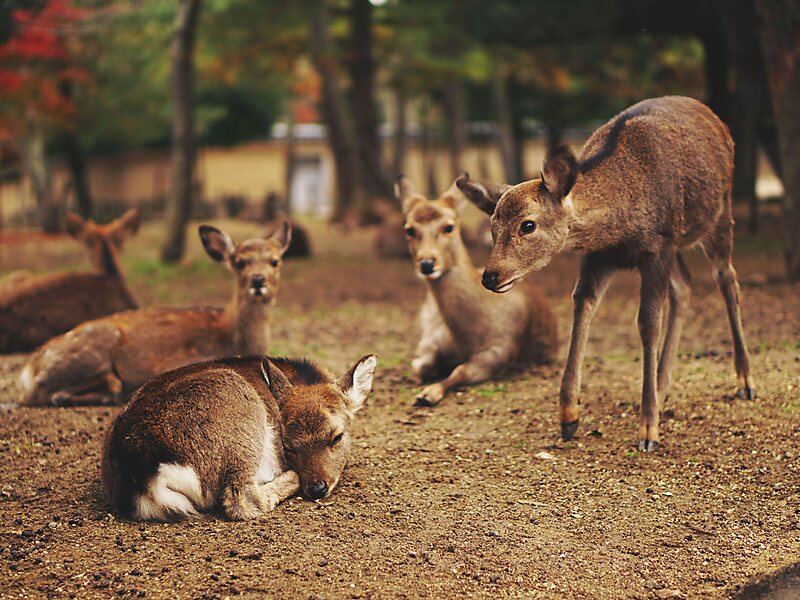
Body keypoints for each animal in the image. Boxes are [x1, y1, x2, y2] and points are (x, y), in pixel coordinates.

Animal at [19, 221, 291, 406]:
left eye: (275, 261)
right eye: (239, 262)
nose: (258, 279)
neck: (231, 336)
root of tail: (28, 369)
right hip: (93, 349)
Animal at [396, 175, 558, 406]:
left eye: (449, 227)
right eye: (409, 229)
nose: (427, 263)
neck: (465, 336)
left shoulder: (501, 349)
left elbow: (461, 370)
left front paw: (428, 393)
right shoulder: (431, 338)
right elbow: (421, 365)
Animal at [457, 95, 755, 452]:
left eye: (527, 225)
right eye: (492, 226)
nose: (490, 276)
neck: (619, 227)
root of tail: (715, 119)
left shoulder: (658, 246)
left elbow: (647, 324)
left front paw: (648, 430)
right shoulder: (599, 255)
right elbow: (582, 306)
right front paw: (568, 416)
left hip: (719, 215)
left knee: (727, 280)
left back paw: (745, 382)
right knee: (685, 284)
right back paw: (662, 386)